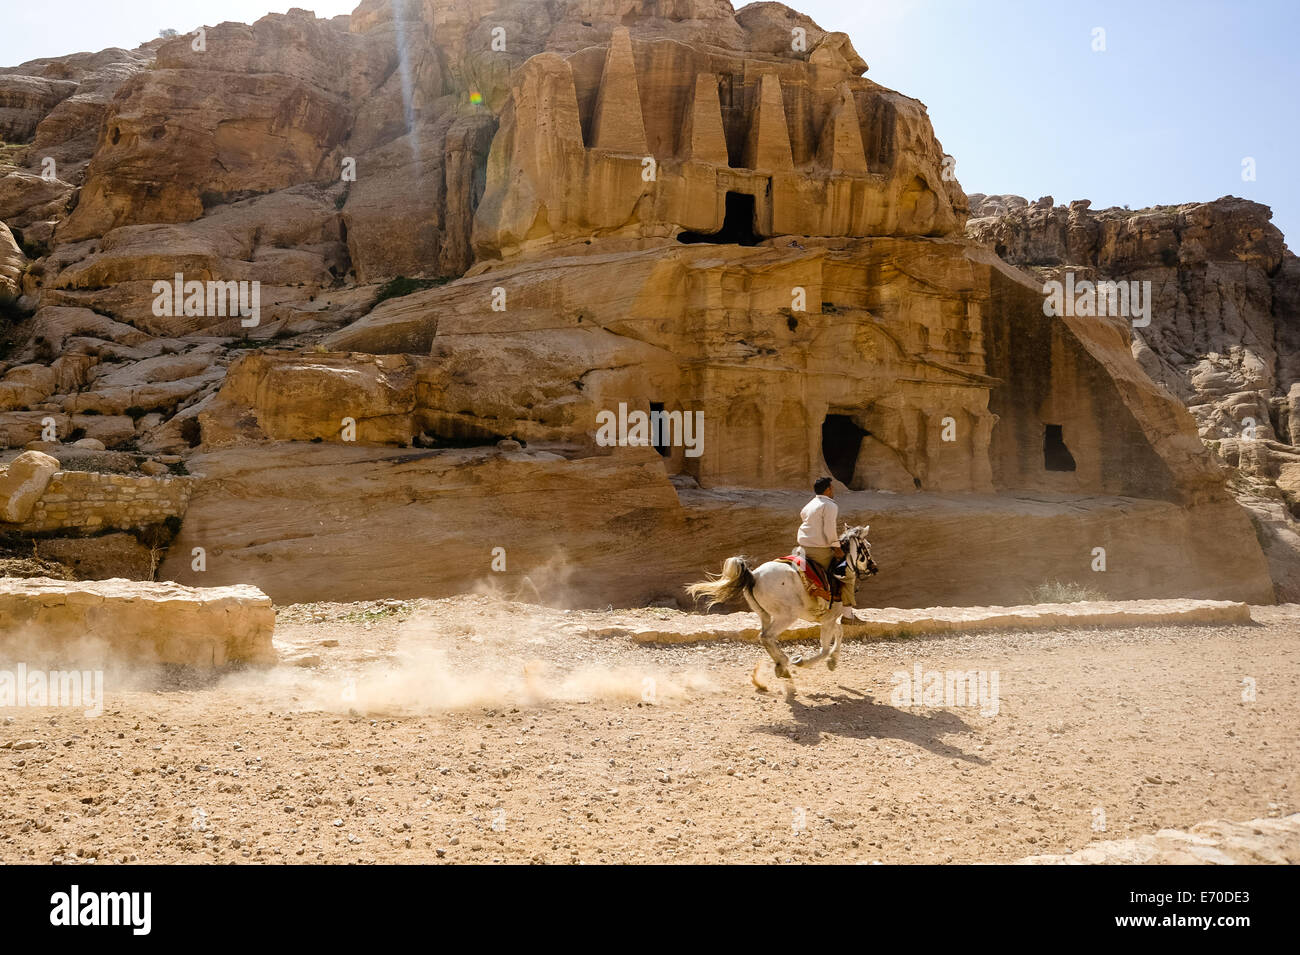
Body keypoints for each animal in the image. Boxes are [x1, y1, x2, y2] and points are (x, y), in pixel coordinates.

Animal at [686, 530, 878, 680]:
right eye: (867, 547)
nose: (874, 568)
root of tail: (754, 576)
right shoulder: (829, 619)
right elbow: (825, 648)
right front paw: (803, 662)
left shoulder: (827, 619)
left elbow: (839, 632)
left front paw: (833, 661)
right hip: (786, 616)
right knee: (767, 636)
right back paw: (784, 663)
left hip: (764, 614)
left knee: (765, 636)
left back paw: (781, 665)